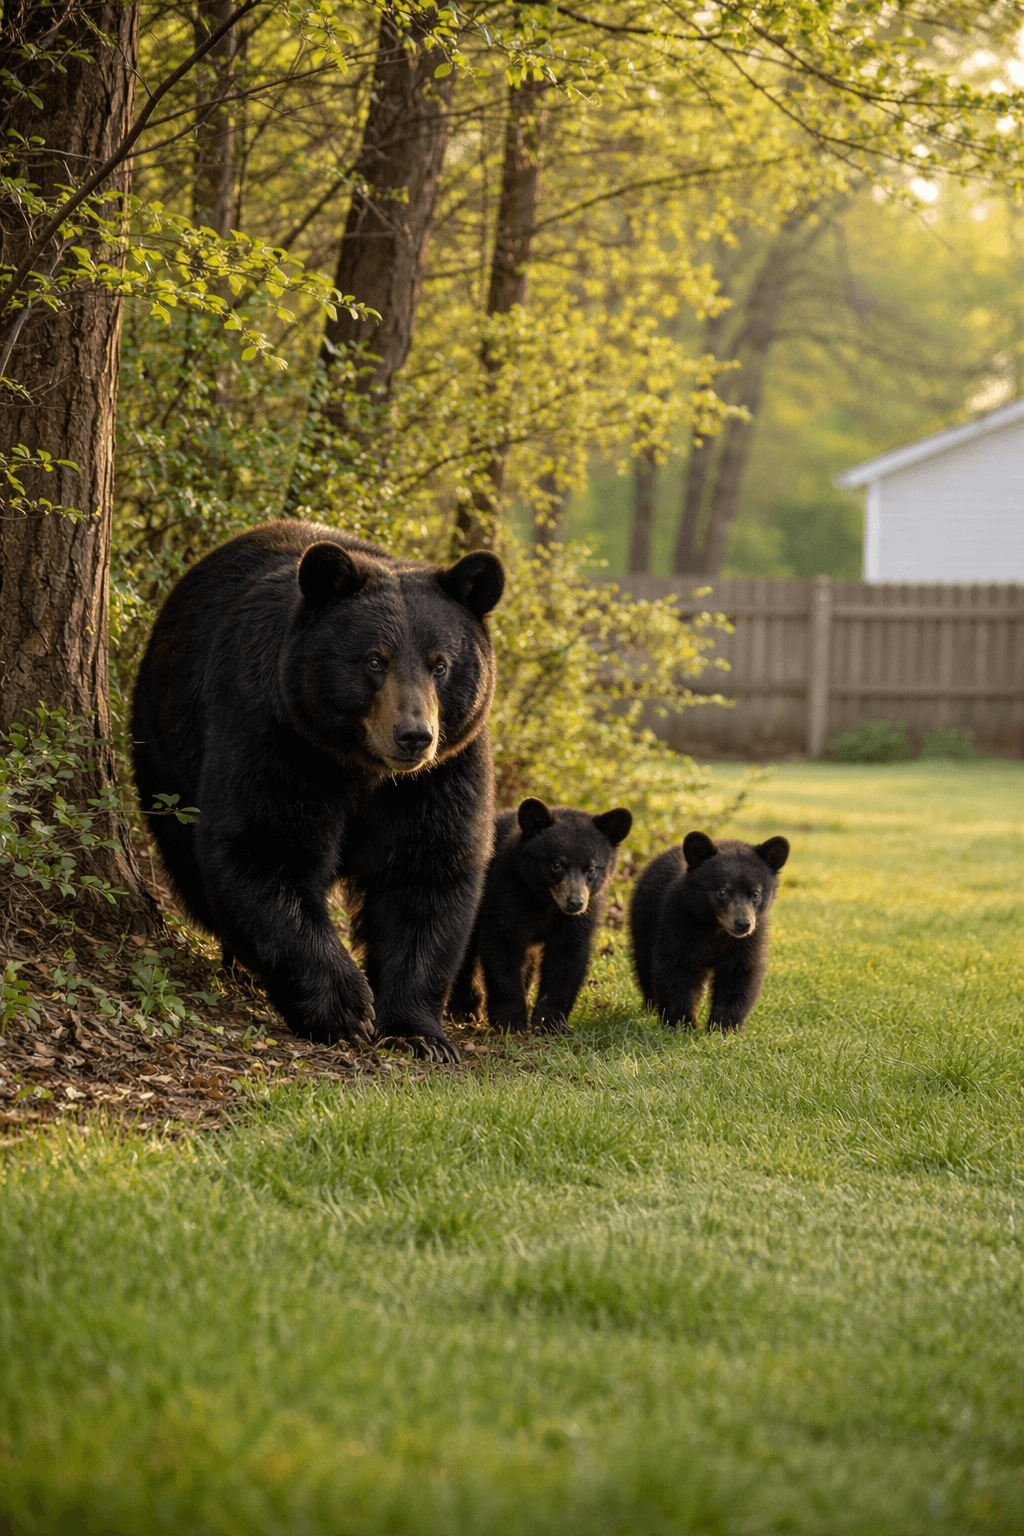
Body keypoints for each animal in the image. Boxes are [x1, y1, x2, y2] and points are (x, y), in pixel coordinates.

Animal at [131, 520, 504, 1062]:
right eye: (374, 660)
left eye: (440, 664)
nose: (414, 735)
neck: (362, 767)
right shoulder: (278, 734)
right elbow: (265, 847)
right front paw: (346, 1008)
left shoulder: (442, 772)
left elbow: (427, 873)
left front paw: (418, 1033)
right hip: (167, 745)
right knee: (188, 856)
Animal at [448, 797, 632, 1035]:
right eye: (557, 864)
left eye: (591, 869)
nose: (575, 903)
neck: (545, 902)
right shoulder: (506, 893)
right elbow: (502, 951)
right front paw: (510, 1021)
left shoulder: (576, 921)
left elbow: (566, 959)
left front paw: (549, 1023)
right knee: (466, 952)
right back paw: (465, 1009)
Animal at [630, 831, 790, 1032]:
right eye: (722, 891)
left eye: (756, 894)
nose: (743, 924)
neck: (715, 929)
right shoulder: (677, 923)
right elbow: (674, 970)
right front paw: (682, 1024)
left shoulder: (748, 941)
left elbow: (738, 976)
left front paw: (723, 1028)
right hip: (643, 922)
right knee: (644, 965)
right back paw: (649, 1006)